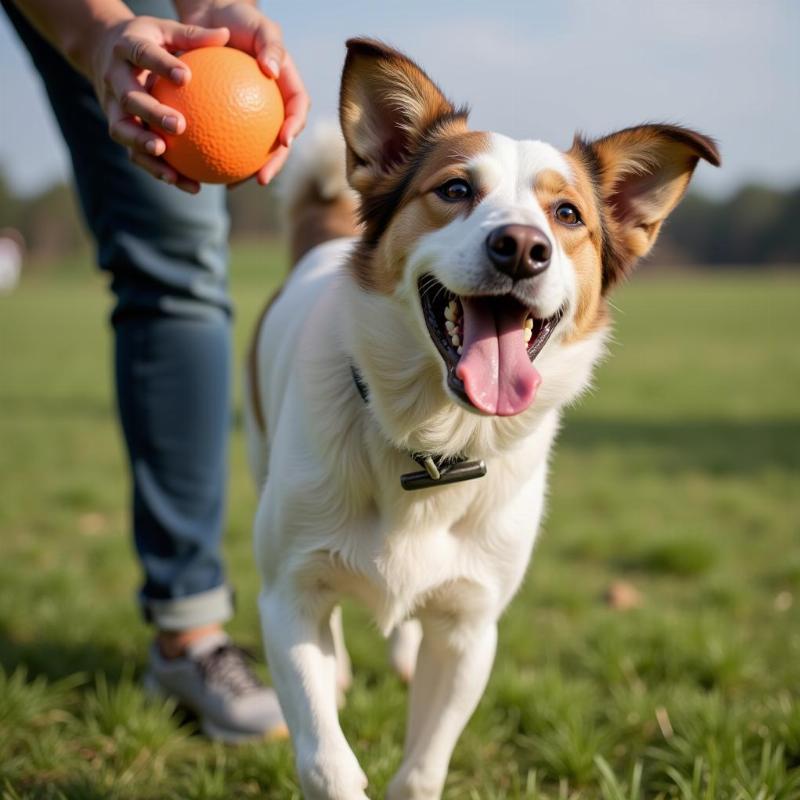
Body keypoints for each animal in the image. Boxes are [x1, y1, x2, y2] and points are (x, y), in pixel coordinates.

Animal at [244, 37, 720, 800]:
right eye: (455, 191)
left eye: (568, 215)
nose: (522, 247)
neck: (433, 442)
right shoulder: (286, 598)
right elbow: (327, 762)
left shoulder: (471, 628)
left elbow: (422, 768)